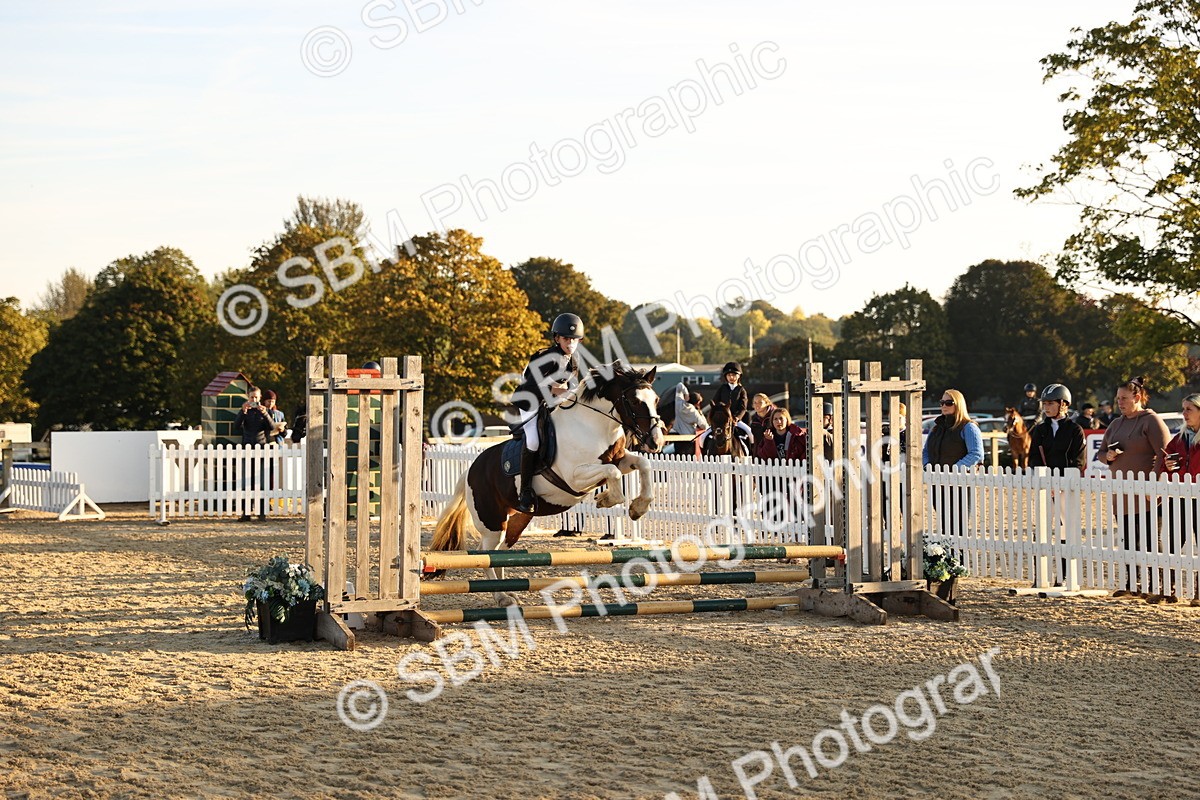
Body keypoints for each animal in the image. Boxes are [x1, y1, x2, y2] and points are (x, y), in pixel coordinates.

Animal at [427, 364, 666, 607]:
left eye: (655, 399)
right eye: (635, 401)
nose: (656, 442)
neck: (593, 425)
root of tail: (470, 471)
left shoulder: (620, 459)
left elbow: (643, 464)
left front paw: (638, 508)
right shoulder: (575, 476)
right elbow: (612, 472)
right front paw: (606, 499)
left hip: (517, 520)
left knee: (501, 553)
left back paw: (508, 593)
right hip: (493, 524)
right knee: (485, 554)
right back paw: (501, 597)